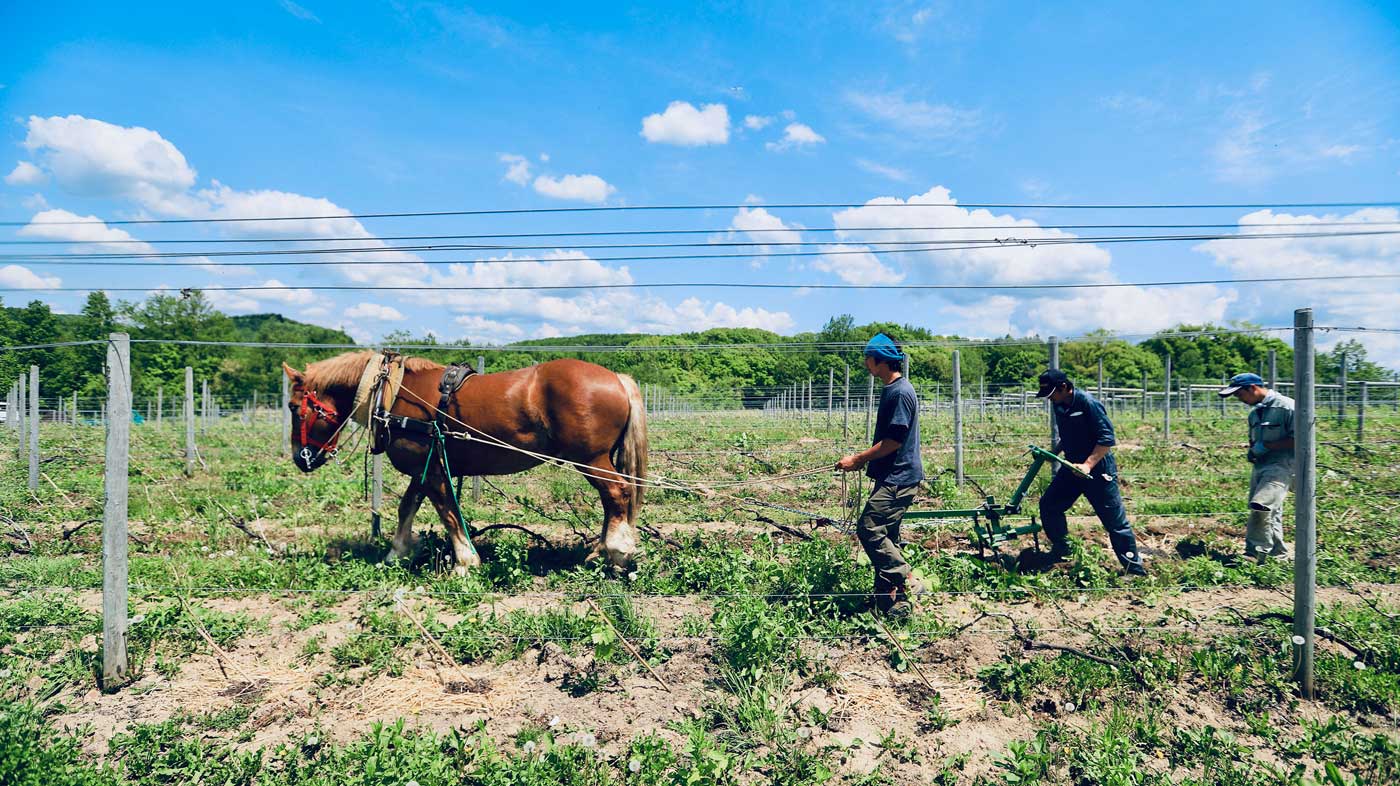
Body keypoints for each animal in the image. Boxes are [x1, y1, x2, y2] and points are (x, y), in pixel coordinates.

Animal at [280, 353, 649, 574]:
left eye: (294, 407)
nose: (301, 458)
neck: (393, 392)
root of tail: (617, 378)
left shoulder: (432, 470)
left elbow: (447, 513)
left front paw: (465, 562)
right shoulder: (424, 468)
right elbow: (407, 507)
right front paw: (397, 553)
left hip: (591, 460)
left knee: (616, 494)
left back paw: (616, 551)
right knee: (613, 501)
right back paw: (601, 550)